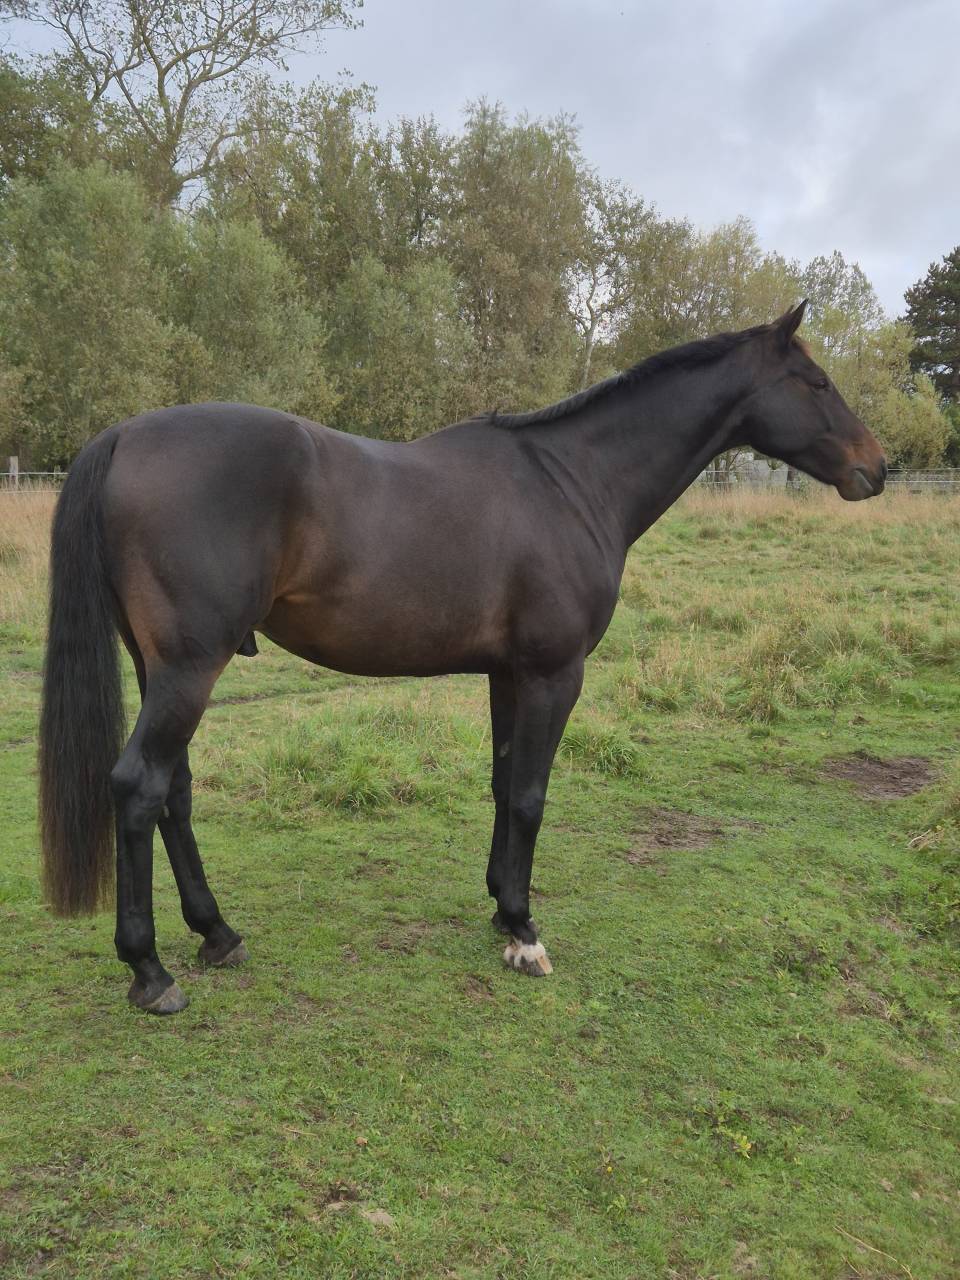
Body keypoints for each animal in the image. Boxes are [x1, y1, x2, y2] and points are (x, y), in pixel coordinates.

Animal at [38, 302, 887, 1014]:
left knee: (174, 794)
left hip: (163, 670)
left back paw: (217, 933)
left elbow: (503, 784)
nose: (876, 467)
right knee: (140, 788)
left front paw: (501, 908)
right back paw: (150, 971)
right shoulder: (554, 674)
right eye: (815, 381)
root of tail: (123, 435)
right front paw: (525, 932)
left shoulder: (509, 675)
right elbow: (532, 796)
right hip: (189, 669)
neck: (572, 481)